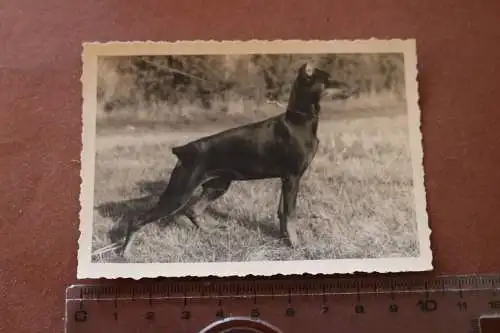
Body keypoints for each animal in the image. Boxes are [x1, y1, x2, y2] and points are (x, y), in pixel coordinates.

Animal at [115, 61, 354, 254]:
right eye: (330, 79)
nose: (351, 88)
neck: (299, 120)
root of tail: (184, 150)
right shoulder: (293, 178)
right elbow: (290, 214)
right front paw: (296, 245)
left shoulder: (286, 179)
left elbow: (282, 213)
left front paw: (284, 239)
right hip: (179, 193)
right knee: (138, 219)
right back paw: (126, 253)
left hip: (218, 185)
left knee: (193, 210)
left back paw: (211, 232)